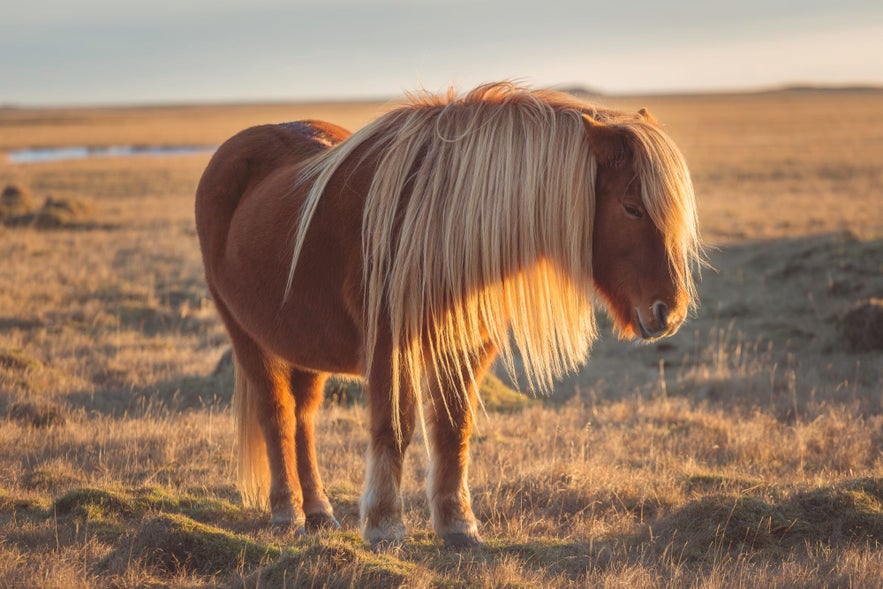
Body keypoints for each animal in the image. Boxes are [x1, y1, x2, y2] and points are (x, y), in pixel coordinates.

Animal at [195, 81, 704, 548]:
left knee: (302, 417)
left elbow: (453, 430)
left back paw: (319, 512)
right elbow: (394, 428)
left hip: (303, 344)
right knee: (277, 416)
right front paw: (384, 525)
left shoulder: (466, 345)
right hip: (247, 336)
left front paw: (458, 525)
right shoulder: (389, 345)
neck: (440, 225)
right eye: (632, 208)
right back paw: (287, 513)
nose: (670, 310)